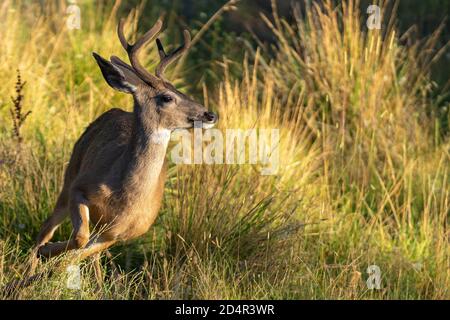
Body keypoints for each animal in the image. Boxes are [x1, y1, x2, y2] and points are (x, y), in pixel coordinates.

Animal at [28, 18, 218, 280]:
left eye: (181, 90)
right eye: (167, 97)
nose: (210, 114)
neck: (123, 197)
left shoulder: (121, 233)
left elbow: (82, 250)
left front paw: (54, 262)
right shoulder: (80, 187)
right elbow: (79, 238)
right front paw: (46, 253)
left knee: (90, 253)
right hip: (70, 174)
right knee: (46, 228)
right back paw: (28, 268)